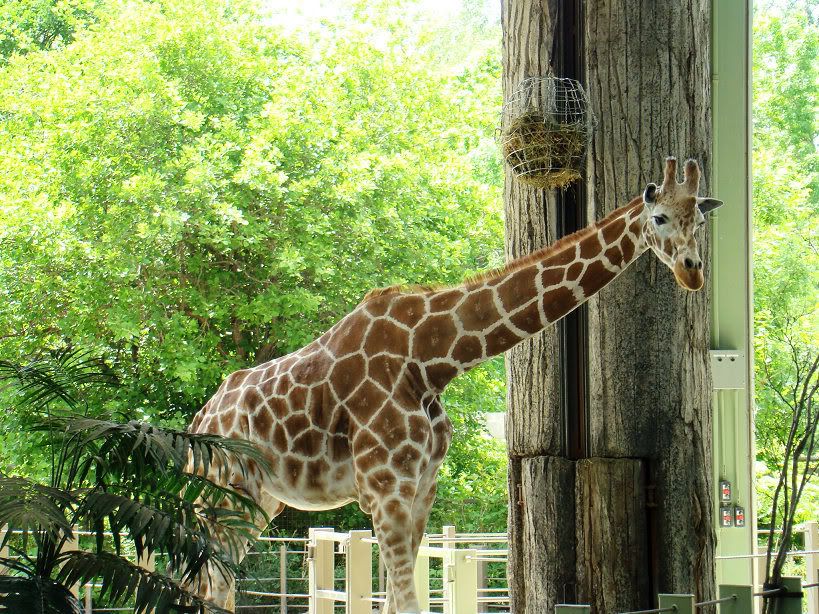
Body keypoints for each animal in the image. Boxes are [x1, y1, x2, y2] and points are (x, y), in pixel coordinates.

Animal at [187, 156, 724, 612]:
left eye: (699, 222)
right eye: (659, 218)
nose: (693, 273)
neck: (430, 360)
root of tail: (200, 417)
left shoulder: (421, 488)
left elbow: (397, 602)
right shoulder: (385, 488)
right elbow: (407, 604)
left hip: (258, 500)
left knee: (218, 583)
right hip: (220, 491)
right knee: (204, 580)